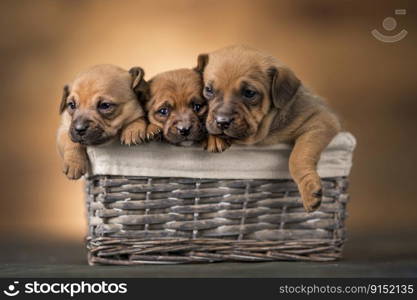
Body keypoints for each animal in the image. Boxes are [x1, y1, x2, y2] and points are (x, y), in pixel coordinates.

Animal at [195, 45, 342, 212]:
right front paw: (214, 138)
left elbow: (299, 155)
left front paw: (309, 189)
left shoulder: (320, 119)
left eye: (249, 93)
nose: (222, 121)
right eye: (208, 90)